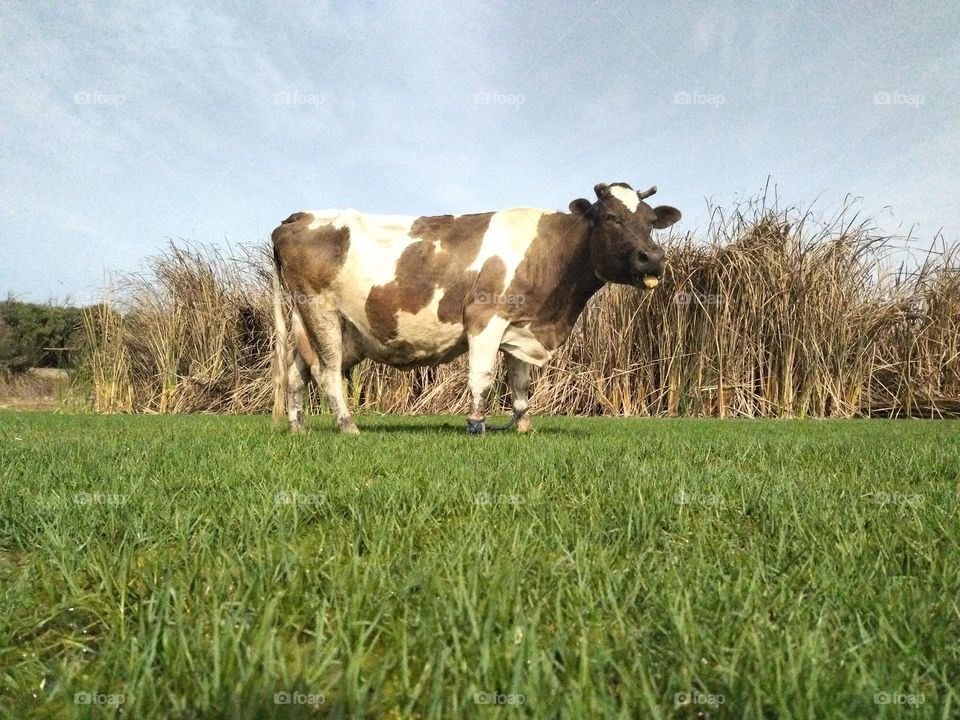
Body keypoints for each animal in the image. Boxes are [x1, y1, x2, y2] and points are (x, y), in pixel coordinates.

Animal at [271, 182, 680, 435]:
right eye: (610, 217)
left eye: (650, 222)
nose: (653, 258)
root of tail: (297, 217)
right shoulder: (486, 319)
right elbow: (482, 376)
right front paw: (476, 423)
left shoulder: (521, 327)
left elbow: (519, 383)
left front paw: (523, 427)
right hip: (322, 312)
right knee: (326, 372)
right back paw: (348, 426)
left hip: (317, 325)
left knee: (296, 372)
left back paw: (297, 426)